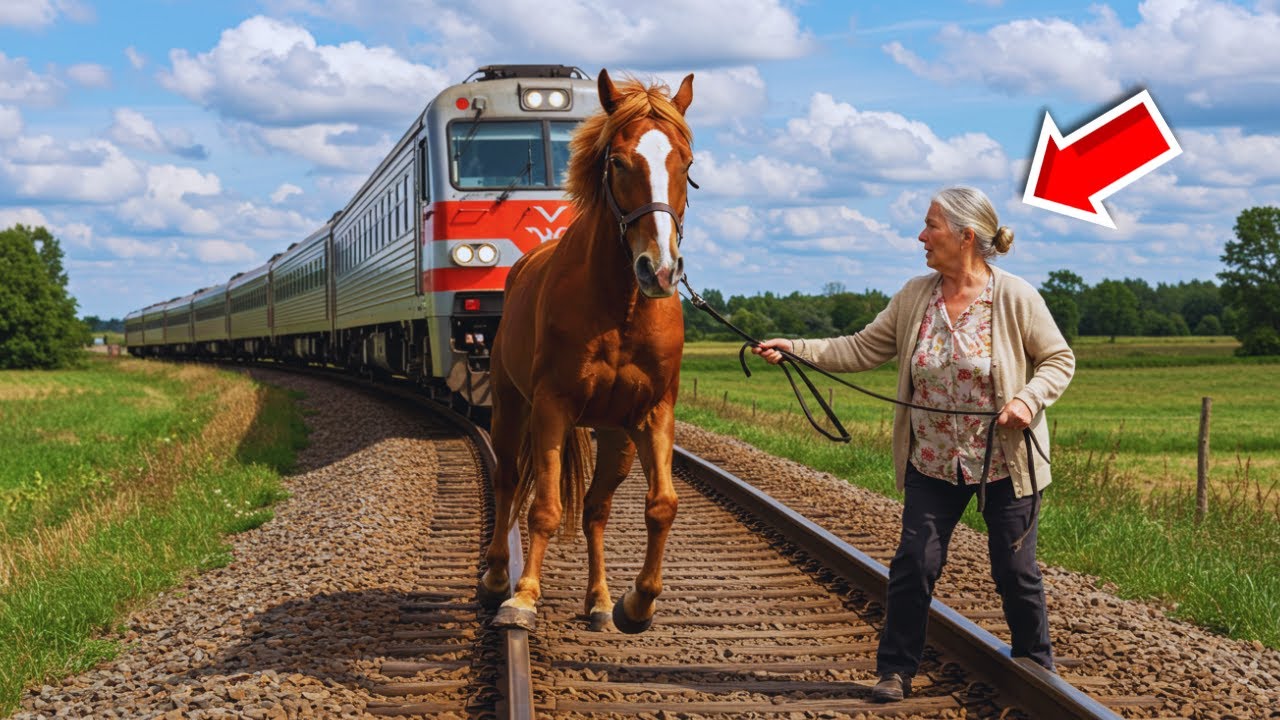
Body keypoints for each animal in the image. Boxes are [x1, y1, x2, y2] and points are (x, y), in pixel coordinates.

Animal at [477, 68, 695, 634]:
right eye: (617, 161)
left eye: (686, 163)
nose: (660, 270)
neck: (620, 308)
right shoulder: (550, 408)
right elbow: (545, 508)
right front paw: (523, 598)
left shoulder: (652, 413)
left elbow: (661, 505)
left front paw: (637, 603)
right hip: (511, 407)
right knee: (508, 481)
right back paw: (496, 577)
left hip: (614, 434)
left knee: (597, 509)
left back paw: (598, 599)